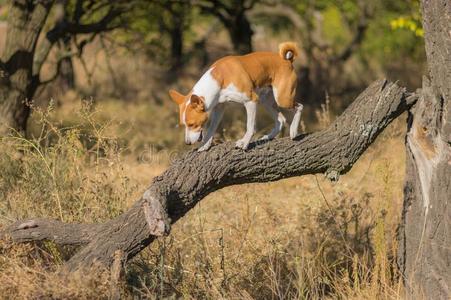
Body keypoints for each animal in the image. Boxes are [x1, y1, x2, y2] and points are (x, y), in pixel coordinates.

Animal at [170, 41, 304, 151]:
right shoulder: (219, 108)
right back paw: (267, 137)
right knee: (281, 120)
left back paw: (293, 130)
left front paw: (244, 143)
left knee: (299, 106)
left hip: (282, 99)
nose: (187, 143)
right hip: (266, 101)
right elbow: (211, 129)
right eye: (184, 125)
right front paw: (205, 145)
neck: (220, 78)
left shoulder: (251, 101)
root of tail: (286, 60)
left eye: (192, 124)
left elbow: (250, 127)